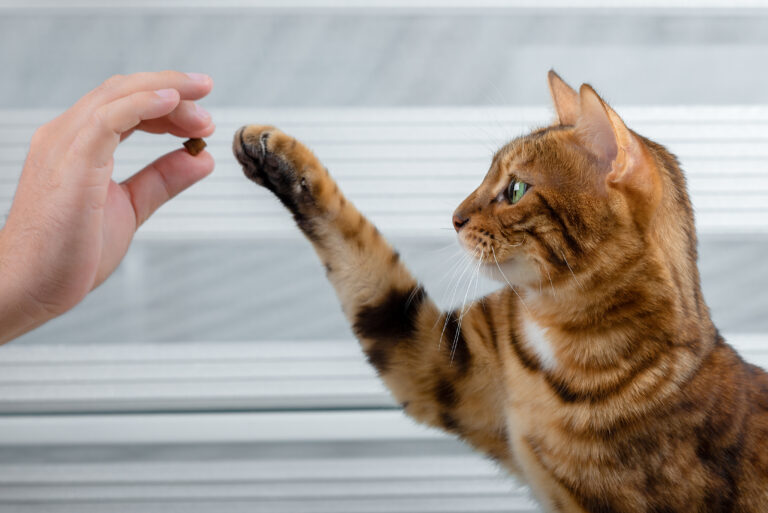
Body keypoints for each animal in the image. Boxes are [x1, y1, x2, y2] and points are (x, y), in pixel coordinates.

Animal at [232, 72, 768, 512]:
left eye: (515, 190)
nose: (454, 217)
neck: (555, 336)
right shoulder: (442, 363)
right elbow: (362, 258)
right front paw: (275, 155)